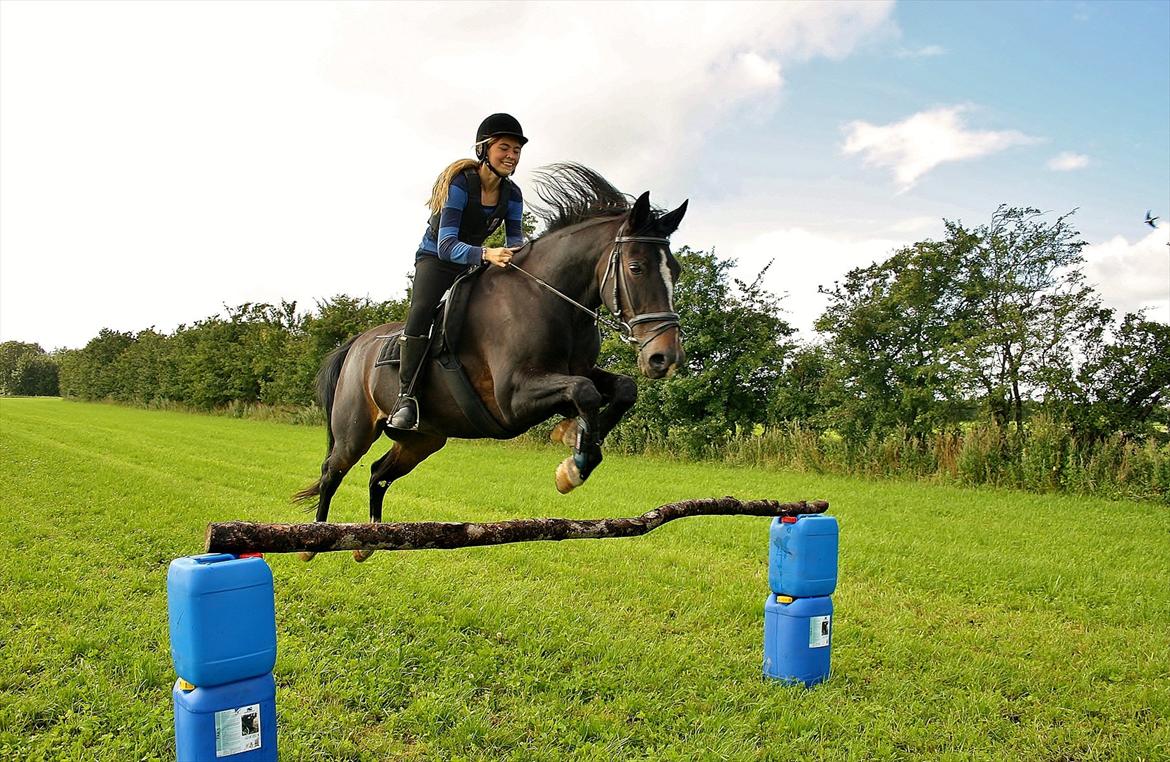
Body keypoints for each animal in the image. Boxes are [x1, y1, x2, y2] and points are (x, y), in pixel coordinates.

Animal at [293, 163, 688, 560]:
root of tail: (355, 344)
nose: (665, 357)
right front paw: (573, 463)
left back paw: (368, 541)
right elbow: (585, 392)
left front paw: (574, 440)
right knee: (333, 470)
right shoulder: (512, 400)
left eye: (677, 270)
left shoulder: (575, 373)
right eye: (636, 267)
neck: (549, 299)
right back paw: (314, 541)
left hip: (424, 440)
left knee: (378, 472)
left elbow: (622, 388)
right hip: (355, 429)